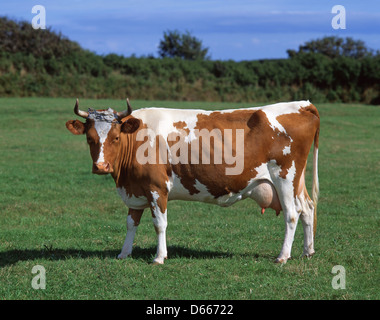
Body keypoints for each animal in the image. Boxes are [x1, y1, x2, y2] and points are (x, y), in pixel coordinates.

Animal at [67, 99, 320, 264]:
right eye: (90, 139)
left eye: (116, 137)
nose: (101, 167)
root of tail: (302, 104)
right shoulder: (135, 189)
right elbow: (131, 223)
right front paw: (123, 253)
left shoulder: (157, 188)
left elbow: (160, 224)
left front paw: (159, 257)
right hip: (297, 181)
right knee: (307, 208)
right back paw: (307, 251)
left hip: (284, 177)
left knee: (292, 214)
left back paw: (283, 256)